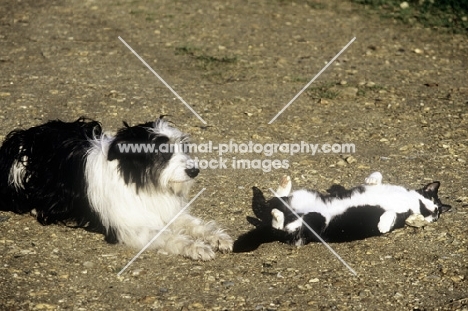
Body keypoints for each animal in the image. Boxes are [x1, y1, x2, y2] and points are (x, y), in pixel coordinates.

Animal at [0, 117, 232, 260]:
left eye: (183, 147)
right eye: (163, 151)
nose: (194, 171)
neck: (139, 180)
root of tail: (27, 137)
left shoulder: (167, 211)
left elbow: (195, 225)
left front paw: (217, 237)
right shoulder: (131, 229)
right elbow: (168, 236)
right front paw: (196, 247)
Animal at [233, 173, 450, 254]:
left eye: (438, 215)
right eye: (435, 205)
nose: (434, 214)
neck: (409, 201)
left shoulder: (400, 215)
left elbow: (393, 215)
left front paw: (384, 225)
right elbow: (378, 176)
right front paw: (371, 179)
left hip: (315, 221)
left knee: (284, 227)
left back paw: (278, 216)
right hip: (303, 198)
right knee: (275, 203)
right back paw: (284, 186)